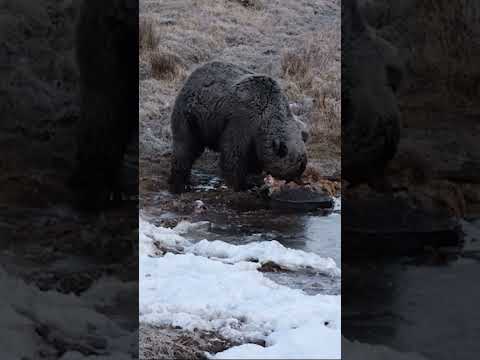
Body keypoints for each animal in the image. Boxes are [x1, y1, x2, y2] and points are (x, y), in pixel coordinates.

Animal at [169, 61, 308, 194]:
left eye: (302, 167)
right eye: (295, 170)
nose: (300, 181)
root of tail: (192, 77)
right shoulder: (242, 120)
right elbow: (233, 154)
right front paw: (241, 185)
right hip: (192, 118)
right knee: (185, 148)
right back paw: (180, 184)